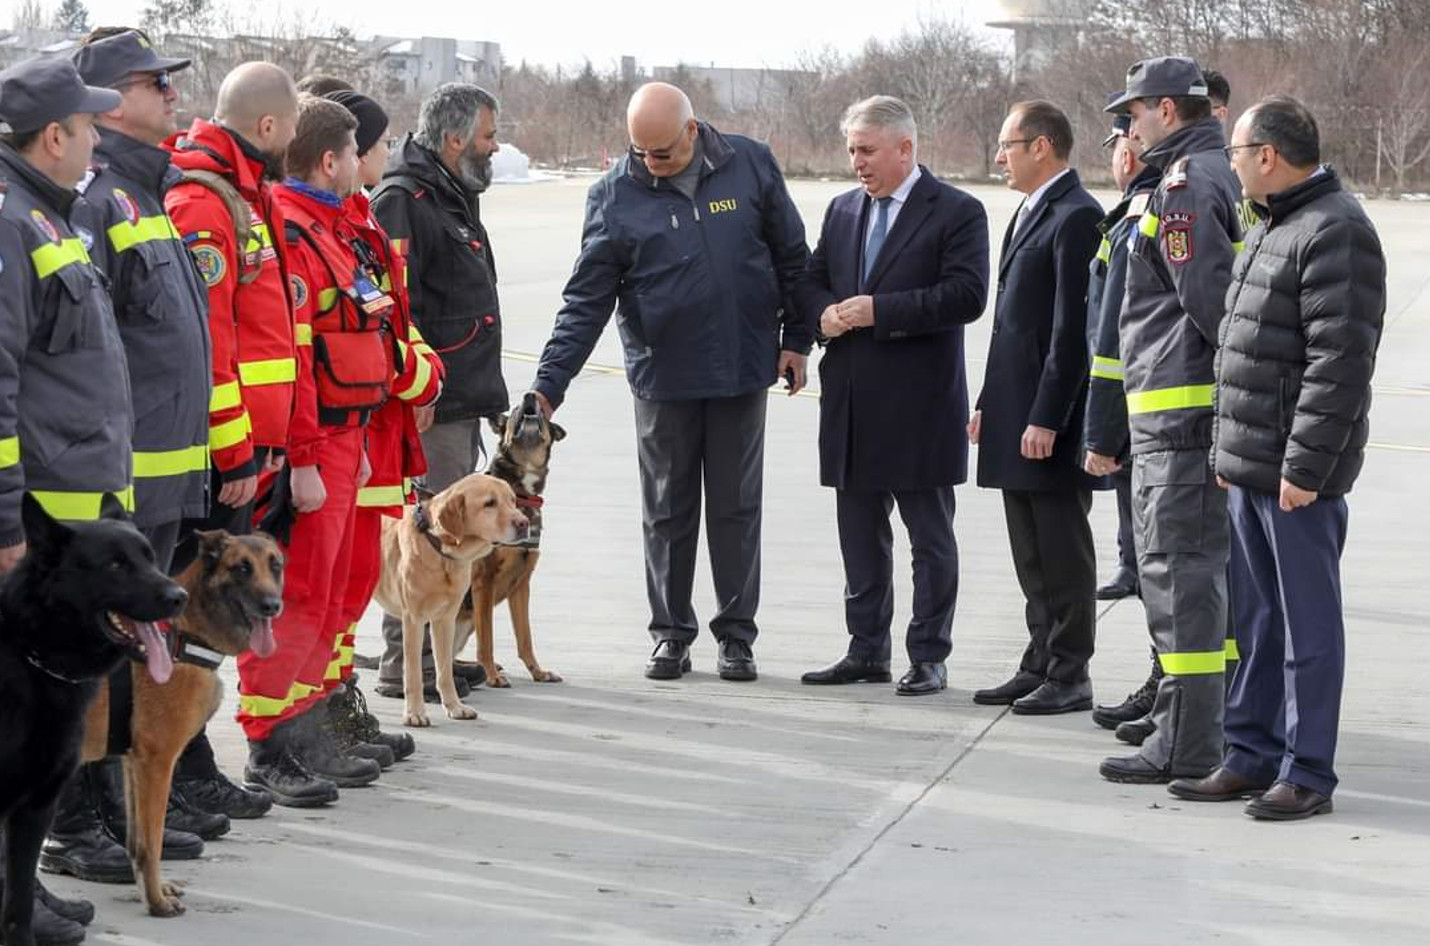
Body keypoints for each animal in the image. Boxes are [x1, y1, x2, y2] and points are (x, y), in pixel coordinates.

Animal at [0, 497, 187, 946]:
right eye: (115, 565)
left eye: (150, 558)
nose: (180, 596)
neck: (30, 655)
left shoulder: (33, 811)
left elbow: (18, 907)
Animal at [81, 534, 284, 920]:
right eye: (242, 568)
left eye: (276, 565)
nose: (272, 606)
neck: (184, 633)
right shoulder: (157, 763)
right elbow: (152, 843)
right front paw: (156, 903)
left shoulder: (134, 764)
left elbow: (136, 842)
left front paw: (154, 892)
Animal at [371, 477, 529, 728]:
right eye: (489, 503)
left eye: (513, 500)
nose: (524, 523)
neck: (440, 549)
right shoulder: (413, 620)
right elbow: (413, 674)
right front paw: (414, 713)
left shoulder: (445, 619)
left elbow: (444, 671)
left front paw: (455, 707)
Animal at [457, 391, 569, 688]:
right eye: (517, 408)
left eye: (540, 409)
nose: (531, 395)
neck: (520, 493)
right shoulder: (484, 580)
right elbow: (487, 639)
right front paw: (492, 675)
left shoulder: (522, 583)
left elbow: (525, 637)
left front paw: (538, 672)